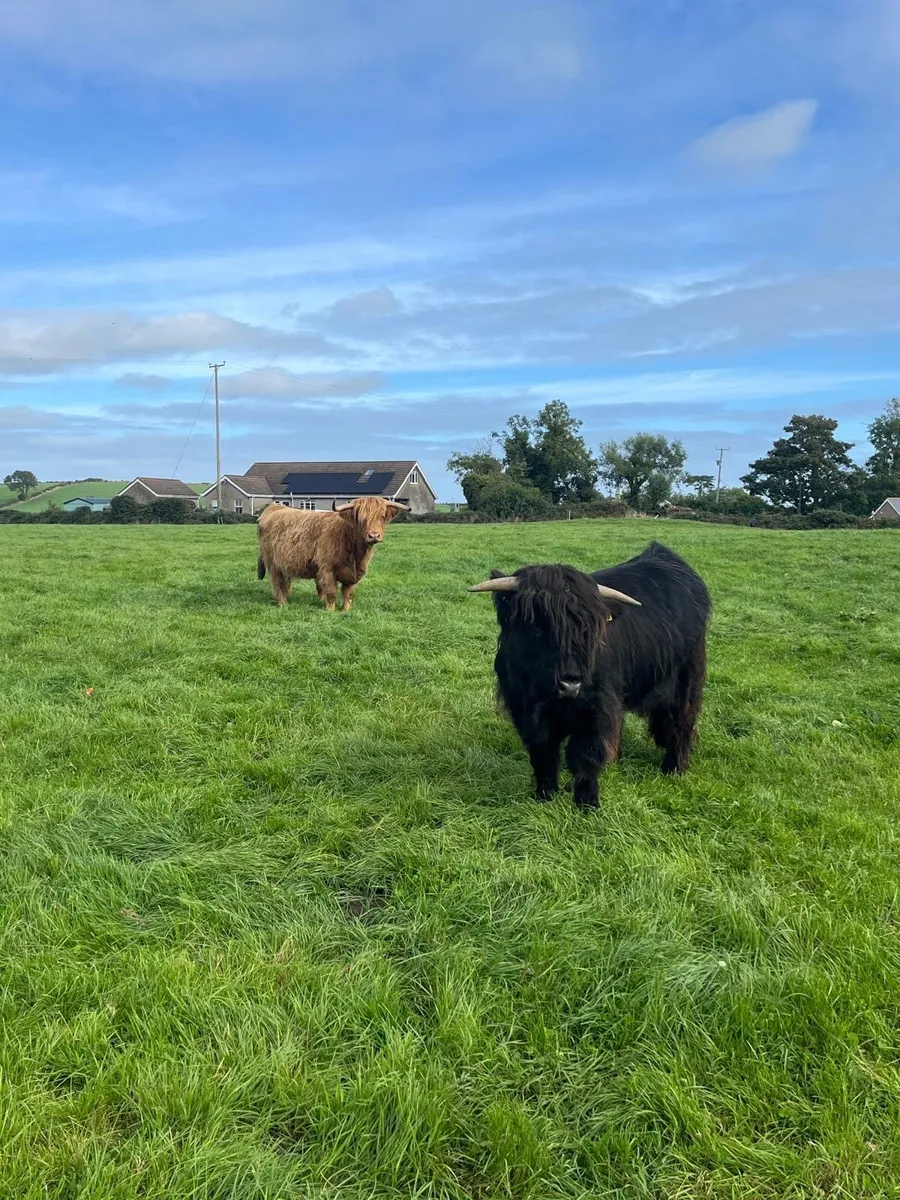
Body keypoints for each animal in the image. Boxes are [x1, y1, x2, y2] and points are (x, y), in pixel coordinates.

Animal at [257, 496, 408, 611]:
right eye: (361, 518)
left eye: (382, 516)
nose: (374, 536)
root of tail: (273, 508)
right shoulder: (327, 569)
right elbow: (331, 592)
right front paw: (330, 611)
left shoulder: (354, 573)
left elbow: (347, 593)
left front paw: (346, 610)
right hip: (273, 563)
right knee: (277, 583)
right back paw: (283, 604)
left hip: (285, 565)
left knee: (285, 583)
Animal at [468, 542, 711, 810]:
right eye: (536, 627)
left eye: (588, 631)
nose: (570, 683)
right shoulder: (525, 709)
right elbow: (543, 754)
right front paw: (544, 795)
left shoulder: (596, 707)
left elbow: (585, 755)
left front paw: (587, 804)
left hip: (686, 679)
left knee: (682, 720)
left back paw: (674, 768)